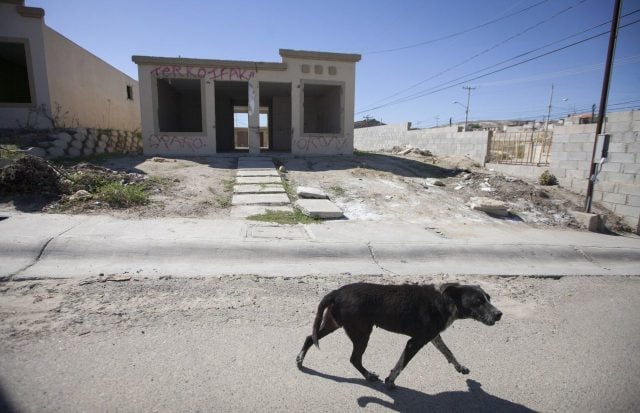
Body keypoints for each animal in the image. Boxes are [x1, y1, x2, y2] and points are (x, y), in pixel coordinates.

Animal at [298, 280, 502, 386]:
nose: (499, 314)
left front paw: (460, 367)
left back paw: (300, 360)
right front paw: (390, 381)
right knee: (354, 358)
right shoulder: (415, 342)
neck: (446, 300)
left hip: (334, 323)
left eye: (488, 298)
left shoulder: (433, 336)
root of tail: (336, 292)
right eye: (478, 301)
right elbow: (401, 364)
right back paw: (369, 376)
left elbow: (448, 351)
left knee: (309, 337)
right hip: (362, 333)